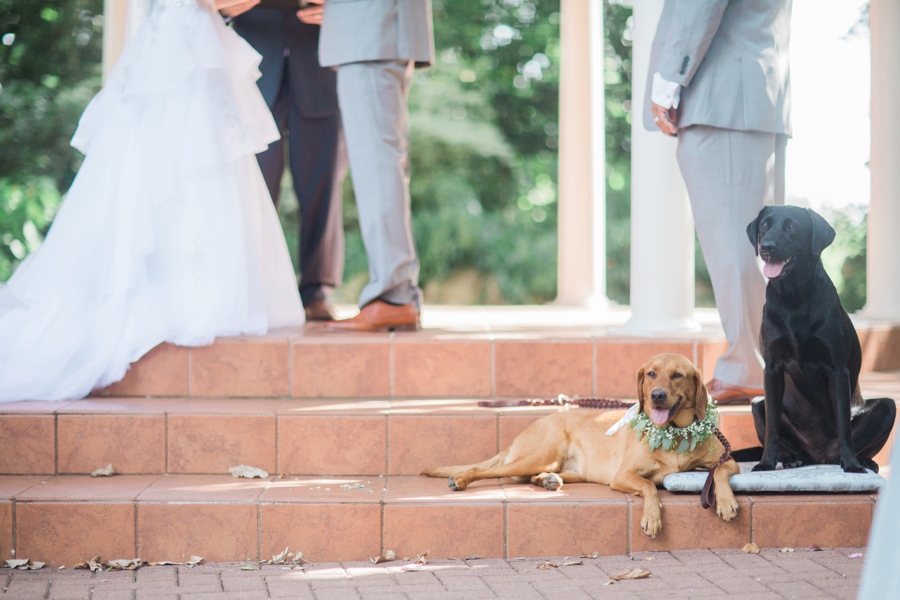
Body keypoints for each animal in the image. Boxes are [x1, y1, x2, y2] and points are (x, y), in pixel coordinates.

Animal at [422, 354, 740, 536]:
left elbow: (720, 472)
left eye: (677, 375)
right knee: (487, 470)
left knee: (534, 476)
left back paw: (548, 481)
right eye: (651, 374)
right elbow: (649, 486)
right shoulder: (623, 476)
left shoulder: (729, 459)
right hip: (539, 455)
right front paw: (652, 517)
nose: (657, 396)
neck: (674, 433)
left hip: (567, 469)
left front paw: (725, 501)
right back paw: (461, 479)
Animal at [744, 206, 892, 474]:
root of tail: (820, 457)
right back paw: (794, 458)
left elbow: (844, 426)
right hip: (757, 403)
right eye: (764, 225)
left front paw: (852, 465)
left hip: (888, 406)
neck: (794, 297)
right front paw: (765, 463)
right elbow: (772, 429)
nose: (766, 247)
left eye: (792, 226)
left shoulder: (837, 370)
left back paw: (862, 461)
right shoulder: (772, 369)